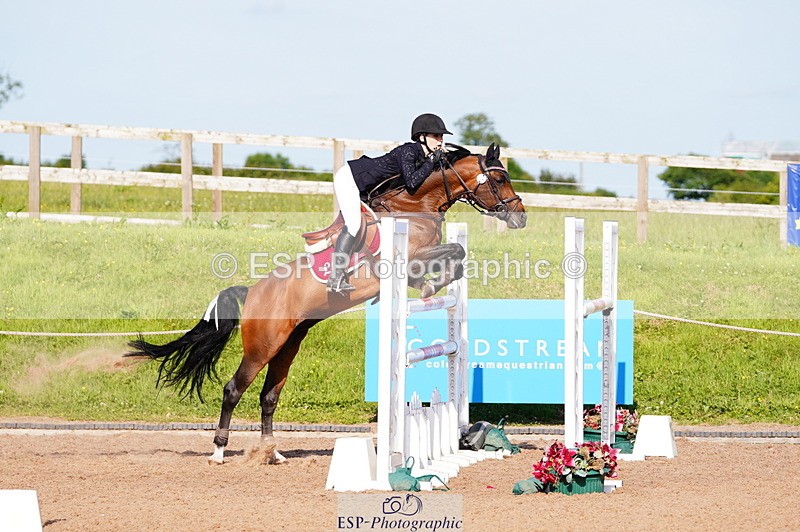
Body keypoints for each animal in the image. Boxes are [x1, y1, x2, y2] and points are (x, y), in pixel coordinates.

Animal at [126, 143, 526, 464]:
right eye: (499, 178)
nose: (520, 217)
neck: (416, 206)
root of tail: (252, 291)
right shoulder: (408, 260)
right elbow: (453, 251)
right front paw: (433, 286)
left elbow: (455, 254)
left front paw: (436, 284)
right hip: (262, 346)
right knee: (233, 389)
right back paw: (220, 451)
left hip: (288, 345)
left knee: (268, 396)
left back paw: (273, 454)